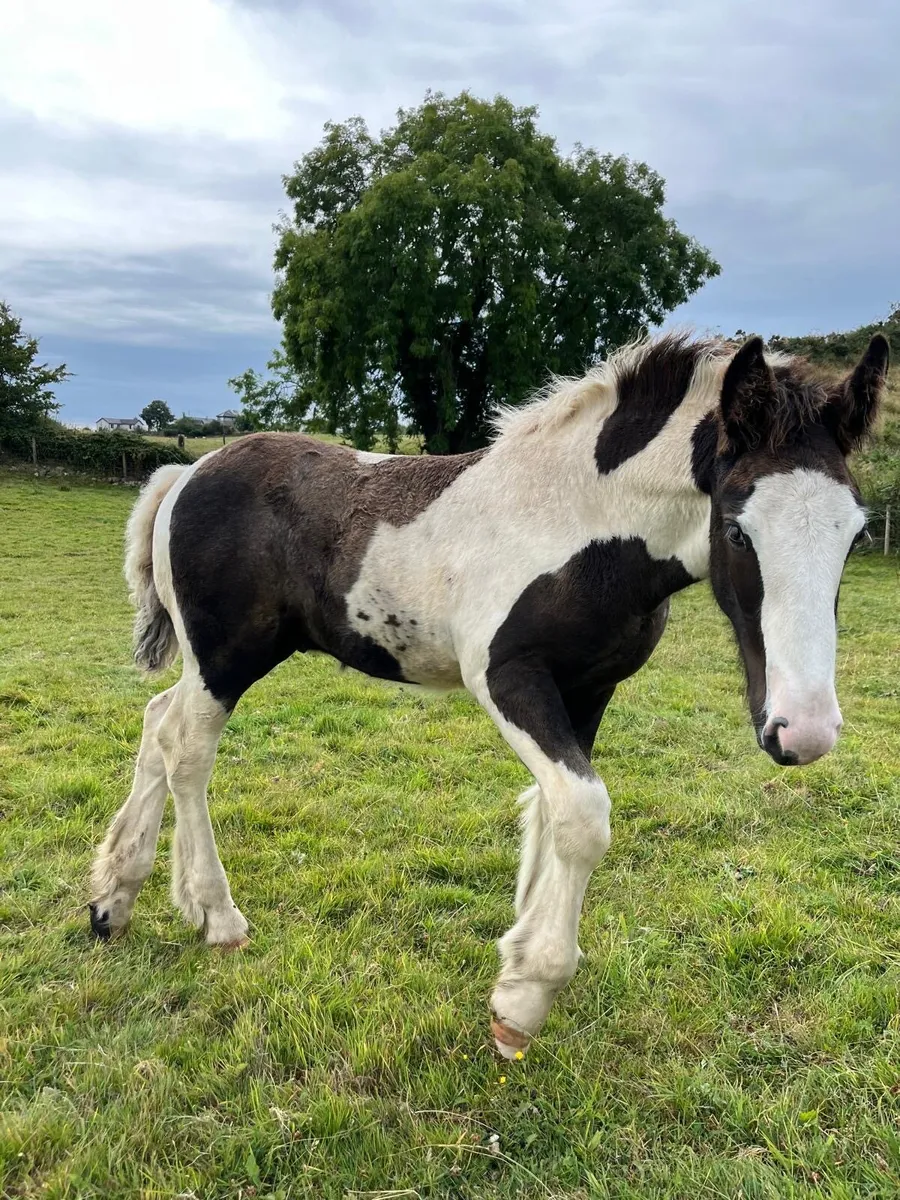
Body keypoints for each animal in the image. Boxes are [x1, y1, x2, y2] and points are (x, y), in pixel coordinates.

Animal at [89, 330, 889, 1058]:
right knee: (187, 750)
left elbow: (549, 809)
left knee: (157, 726)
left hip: (212, 662)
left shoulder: (589, 688)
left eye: (855, 536)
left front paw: (518, 958)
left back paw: (112, 900)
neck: (579, 521)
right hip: (226, 658)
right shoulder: (508, 677)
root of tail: (187, 471)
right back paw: (216, 917)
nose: (804, 731)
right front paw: (526, 997)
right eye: (738, 531)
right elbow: (583, 814)